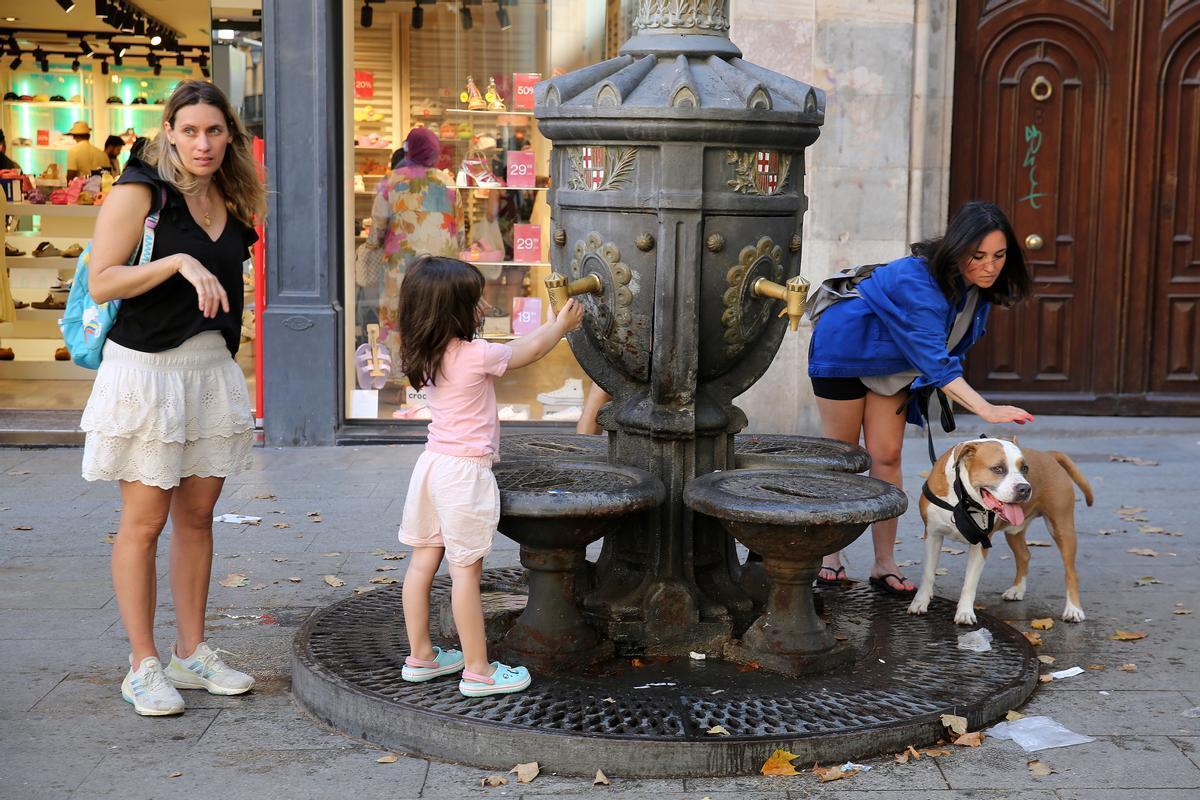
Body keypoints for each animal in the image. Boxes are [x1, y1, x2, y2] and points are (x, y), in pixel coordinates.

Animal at [902, 438, 1094, 623]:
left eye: (1025, 468)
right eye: (997, 469)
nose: (1025, 488)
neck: (962, 498)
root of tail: (1048, 455)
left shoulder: (980, 544)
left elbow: (970, 583)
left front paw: (965, 612)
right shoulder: (932, 535)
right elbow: (928, 573)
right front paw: (919, 602)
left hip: (1062, 527)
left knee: (1071, 572)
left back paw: (1073, 610)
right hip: (1014, 531)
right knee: (1024, 555)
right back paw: (1017, 589)